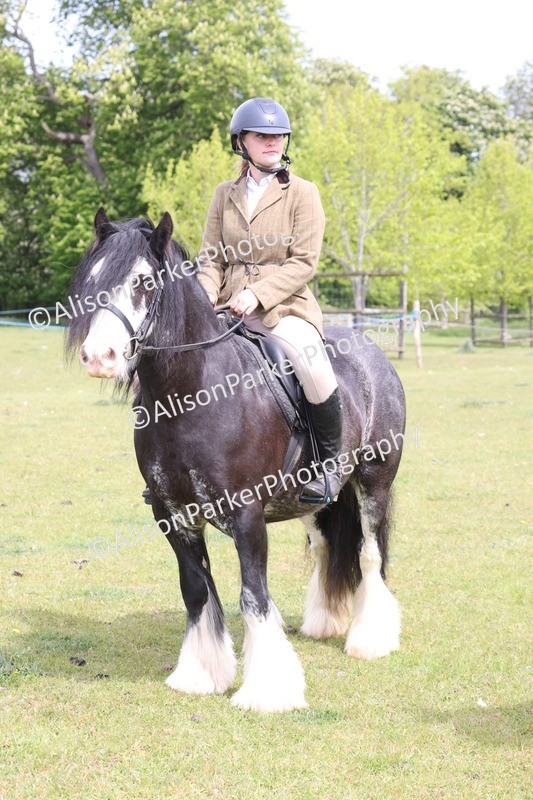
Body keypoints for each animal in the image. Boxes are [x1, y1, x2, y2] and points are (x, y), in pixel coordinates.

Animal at [67, 207, 406, 712]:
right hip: (311, 500)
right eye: (92, 279)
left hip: (374, 484)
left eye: (144, 282)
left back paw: (370, 639)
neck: (191, 396)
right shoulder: (172, 514)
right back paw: (323, 621)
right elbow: (196, 591)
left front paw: (267, 690)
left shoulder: (247, 516)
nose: (99, 356)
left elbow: (252, 595)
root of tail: (371, 352)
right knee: (327, 547)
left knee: (369, 553)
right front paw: (200, 673)